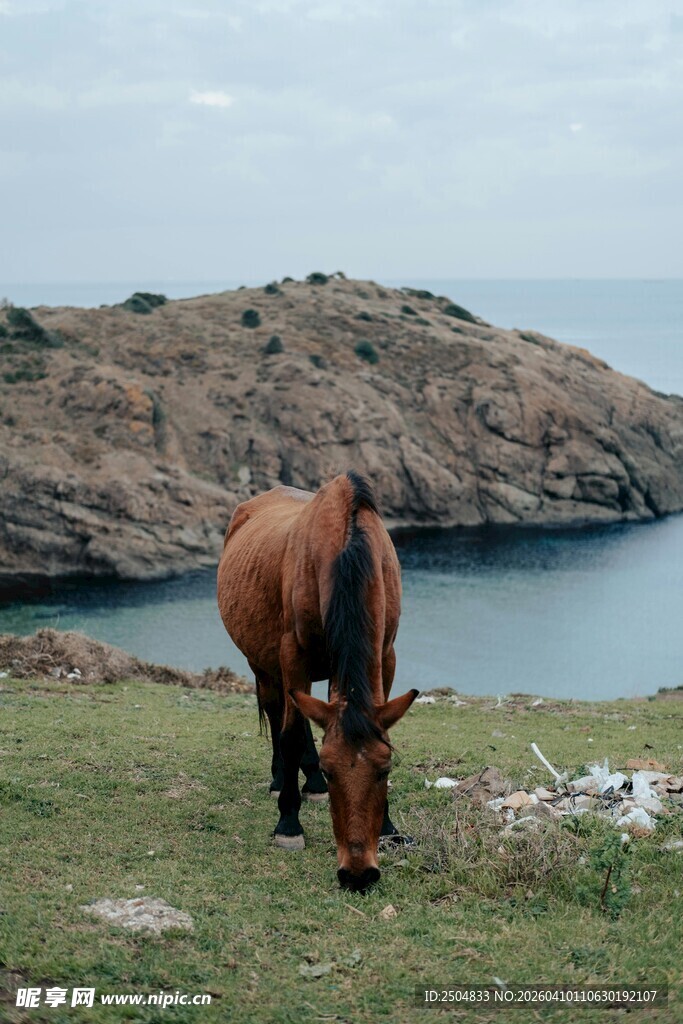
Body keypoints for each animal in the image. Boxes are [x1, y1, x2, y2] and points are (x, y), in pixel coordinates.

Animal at [217, 471, 418, 891]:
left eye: (386, 769)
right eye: (331, 769)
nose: (358, 874)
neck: (347, 549)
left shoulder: (385, 655)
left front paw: (389, 828)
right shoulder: (294, 656)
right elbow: (292, 736)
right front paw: (288, 824)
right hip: (264, 665)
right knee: (278, 713)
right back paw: (283, 781)